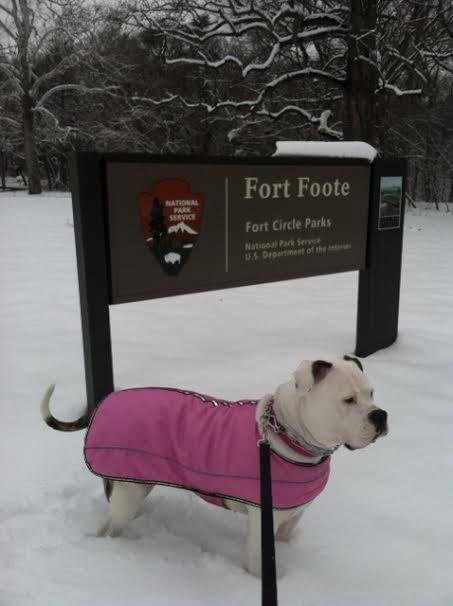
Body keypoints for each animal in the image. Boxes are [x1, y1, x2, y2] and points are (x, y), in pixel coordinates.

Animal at [41, 356, 384, 580]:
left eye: (371, 393)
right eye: (348, 400)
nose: (380, 415)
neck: (287, 432)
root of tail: (104, 402)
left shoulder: (291, 517)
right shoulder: (263, 523)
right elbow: (260, 565)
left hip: (134, 481)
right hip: (127, 493)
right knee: (110, 529)